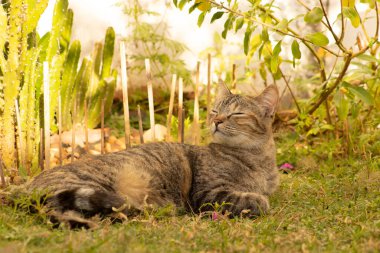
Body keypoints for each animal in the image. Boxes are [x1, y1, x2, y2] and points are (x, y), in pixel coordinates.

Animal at [24, 81, 280, 225]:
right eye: (215, 111)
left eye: (237, 114)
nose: (216, 121)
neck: (257, 159)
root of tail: (26, 188)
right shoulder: (209, 193)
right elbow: (254, 199)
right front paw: (260, 201)